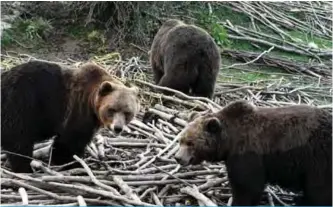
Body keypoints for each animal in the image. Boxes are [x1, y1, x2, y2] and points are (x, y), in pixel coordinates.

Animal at [0, 60, 140, 173]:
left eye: (127, 112)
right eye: (112, 110)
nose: (118, 128)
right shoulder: (77, 109)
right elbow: (69, 141)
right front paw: (71, 162)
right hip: (20, 105)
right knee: (20, 144)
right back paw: (26, 169)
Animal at [174, 100, 330, 205]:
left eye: (190, 143)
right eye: (180, 140)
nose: (178, 158)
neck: (229, 140)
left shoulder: (247, 153)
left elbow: (246, 186)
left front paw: (238, 201)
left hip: (317, 157)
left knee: (319, 188)